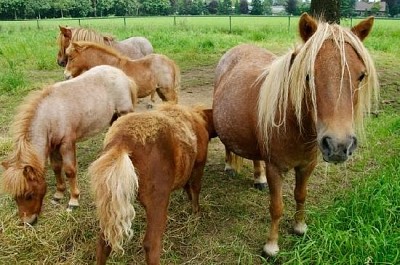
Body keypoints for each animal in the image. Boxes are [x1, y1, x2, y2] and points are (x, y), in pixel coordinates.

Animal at [0, 65, 138, 224]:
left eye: (29, 194)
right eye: (15, 197)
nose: (28, 222)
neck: (51, 115)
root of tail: (122, 75)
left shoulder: (67, 144)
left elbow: (69, 170)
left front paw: (73, 201)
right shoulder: (53, 147)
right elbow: (56, 167)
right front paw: (58, 194)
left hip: (124, 113)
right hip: (113, 117)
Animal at [89, 103, 217, 264]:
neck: (198, 118)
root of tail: (122, 143)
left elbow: (187, 187)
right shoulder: (198, 164)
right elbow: (195, 188)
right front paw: (196, 213)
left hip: (111, 201)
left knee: (104, 241)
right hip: (157, 201)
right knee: (151, 244)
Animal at [212, 13, 378, 256]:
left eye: (361, 75)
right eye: (308, 76)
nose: (338, 146)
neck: (294, 126)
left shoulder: (307, 165)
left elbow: (301, 195)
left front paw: (300, 227)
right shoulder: (275, 169)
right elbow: (276, 207)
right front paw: (271, 246)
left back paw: (258, 179)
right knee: (228, 146)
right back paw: (229, 167)